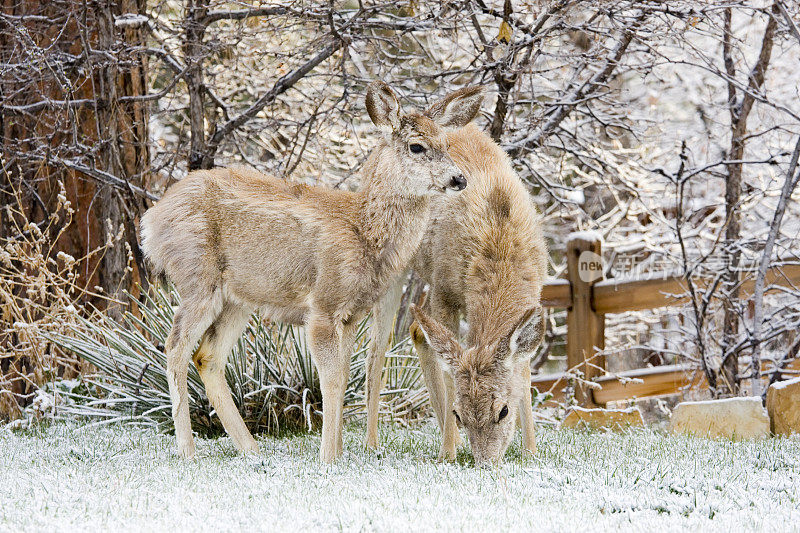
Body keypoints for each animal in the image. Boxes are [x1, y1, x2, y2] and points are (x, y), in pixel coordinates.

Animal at [141, 81, 484, 460]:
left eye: (447, 144)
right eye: (417, 146)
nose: (458, 179)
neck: (363, 231)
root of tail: (151, 220)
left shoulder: (351, 314)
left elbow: (345, 376)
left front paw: (339, 452)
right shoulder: (323, 304)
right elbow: (330, 379)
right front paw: (327, 457)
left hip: (237, 299)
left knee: (207, 356)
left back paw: (252, 449)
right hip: (197, 278)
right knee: (175, 347)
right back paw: (188, 449)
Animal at [364, 122, 548, 464]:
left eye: (503, 411)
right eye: (460, 414)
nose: (486, 462)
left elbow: (523, 371)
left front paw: (530, 450)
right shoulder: (445, 290)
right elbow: (451, 372)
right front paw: (447, 453)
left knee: (417, 330)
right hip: (391, 260)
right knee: (378, 346)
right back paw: (372, 443)